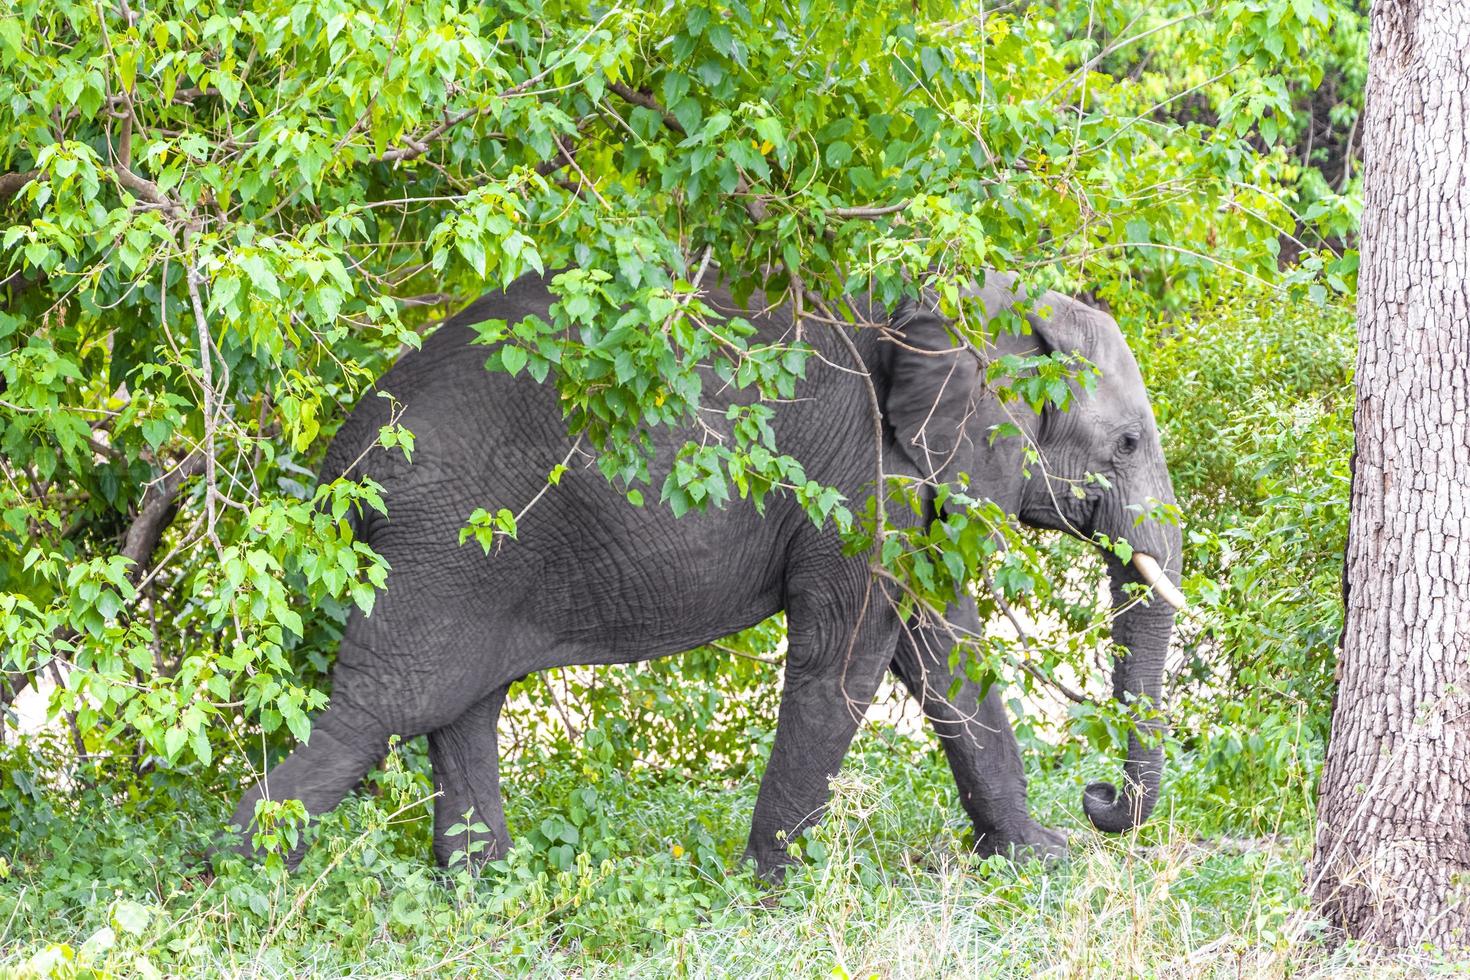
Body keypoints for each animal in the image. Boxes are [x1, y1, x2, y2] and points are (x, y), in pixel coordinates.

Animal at [220, 265, 1181, 875]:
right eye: (1128, 443)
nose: (1098, 797)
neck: (971, 299)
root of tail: (340, 455)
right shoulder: (865, 484)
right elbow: (845, 661)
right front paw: (772, 886)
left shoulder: (913, 490)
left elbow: (945, 651)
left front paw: (1040, 858)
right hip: (445, 536)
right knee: (384, 708)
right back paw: (228, 883)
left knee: (461, 708)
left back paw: (486, 889)